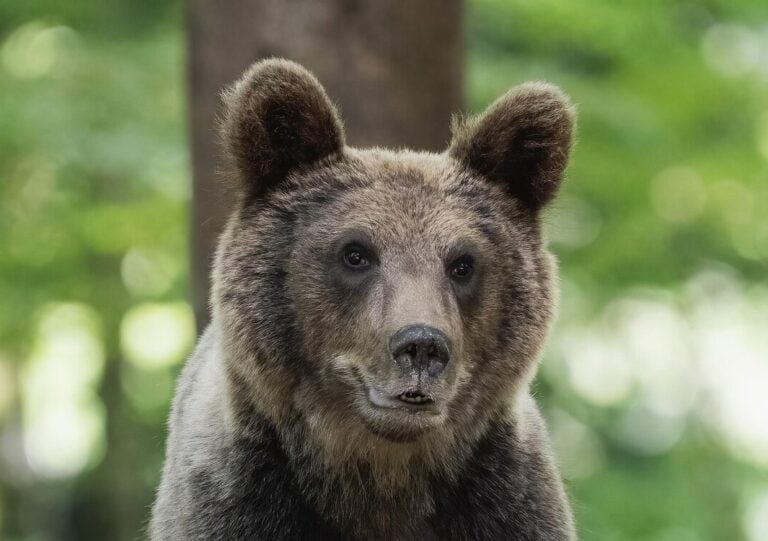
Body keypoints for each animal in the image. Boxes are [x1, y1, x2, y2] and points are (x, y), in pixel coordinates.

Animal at [150, 58, 577, 540]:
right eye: (355, 253)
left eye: (463, 263)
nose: (422, 346)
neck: (379, 477)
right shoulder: (236, 501)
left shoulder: (506, 502)